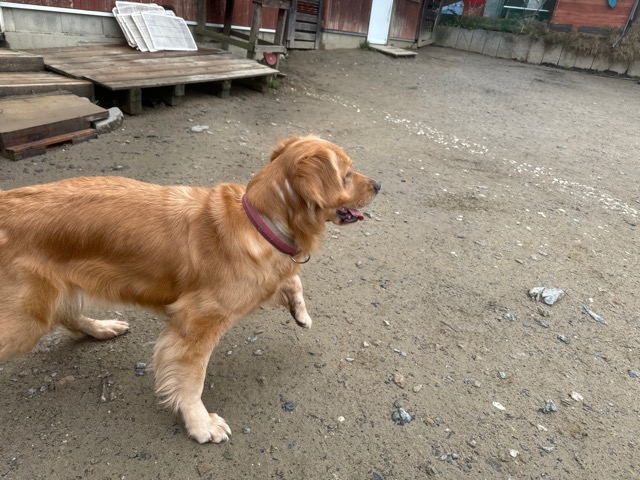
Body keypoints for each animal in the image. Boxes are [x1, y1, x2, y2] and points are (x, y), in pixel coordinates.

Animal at [0, 135, 380, 443]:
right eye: (347, 174)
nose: (378, 184)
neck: (259, 222)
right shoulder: (197, 322)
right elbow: (191, 379)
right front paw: (201, 424)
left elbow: (293, 280)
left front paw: (300, 312)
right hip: (24, 318)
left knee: (66, 313)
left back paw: (101, 328)